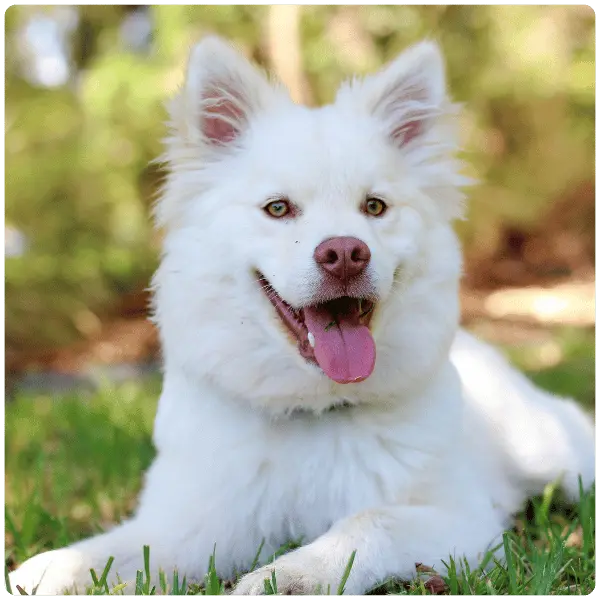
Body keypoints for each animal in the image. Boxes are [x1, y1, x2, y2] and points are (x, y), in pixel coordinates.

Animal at [10, 37, 596, 596]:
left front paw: (292, 577)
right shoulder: (190, 526)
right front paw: (40, 572)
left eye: (375, 207)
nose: (345, 253)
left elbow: (365, 523)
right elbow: (102, 553)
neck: (313, 410)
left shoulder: (462, 523)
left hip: (559, 455)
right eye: (278, 208)